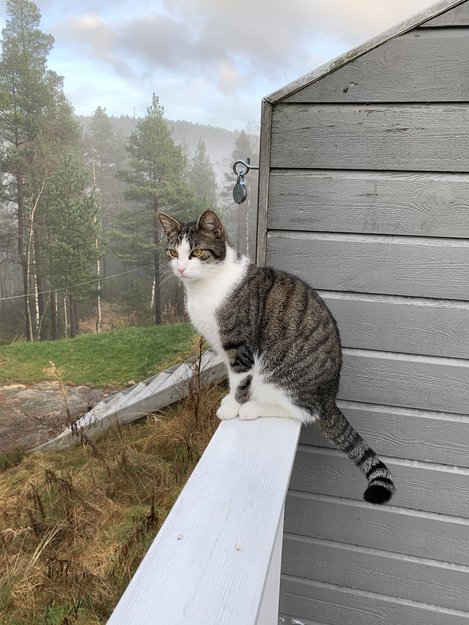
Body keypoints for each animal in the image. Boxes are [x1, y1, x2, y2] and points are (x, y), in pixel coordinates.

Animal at [158, 209, 395, 505]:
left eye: (197, 252)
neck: (206, 288)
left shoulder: (239, 346)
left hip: (280, 374)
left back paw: (253, 408)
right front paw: (229, 397)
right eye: (173, 252)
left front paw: (233, 406)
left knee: (302, 411)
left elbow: (239, 380)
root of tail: (329, 398)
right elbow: (232, 379)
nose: (180, 268)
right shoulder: (224, 349)